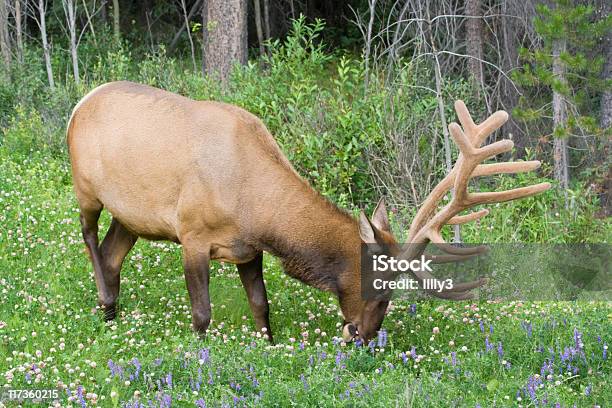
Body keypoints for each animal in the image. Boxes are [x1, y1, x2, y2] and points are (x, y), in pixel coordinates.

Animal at [67, 81, 548, 342]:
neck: (254, 207)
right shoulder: (192, 234)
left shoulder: (248, 249)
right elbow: (201, 314)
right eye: (381, 290)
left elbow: (261, 307)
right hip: (86, 188)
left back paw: (112, 316)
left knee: (112, 253)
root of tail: (80, 103)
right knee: (89, 238)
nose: (363, 336)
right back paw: (104, 300)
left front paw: (268, 347)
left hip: (132, 216)